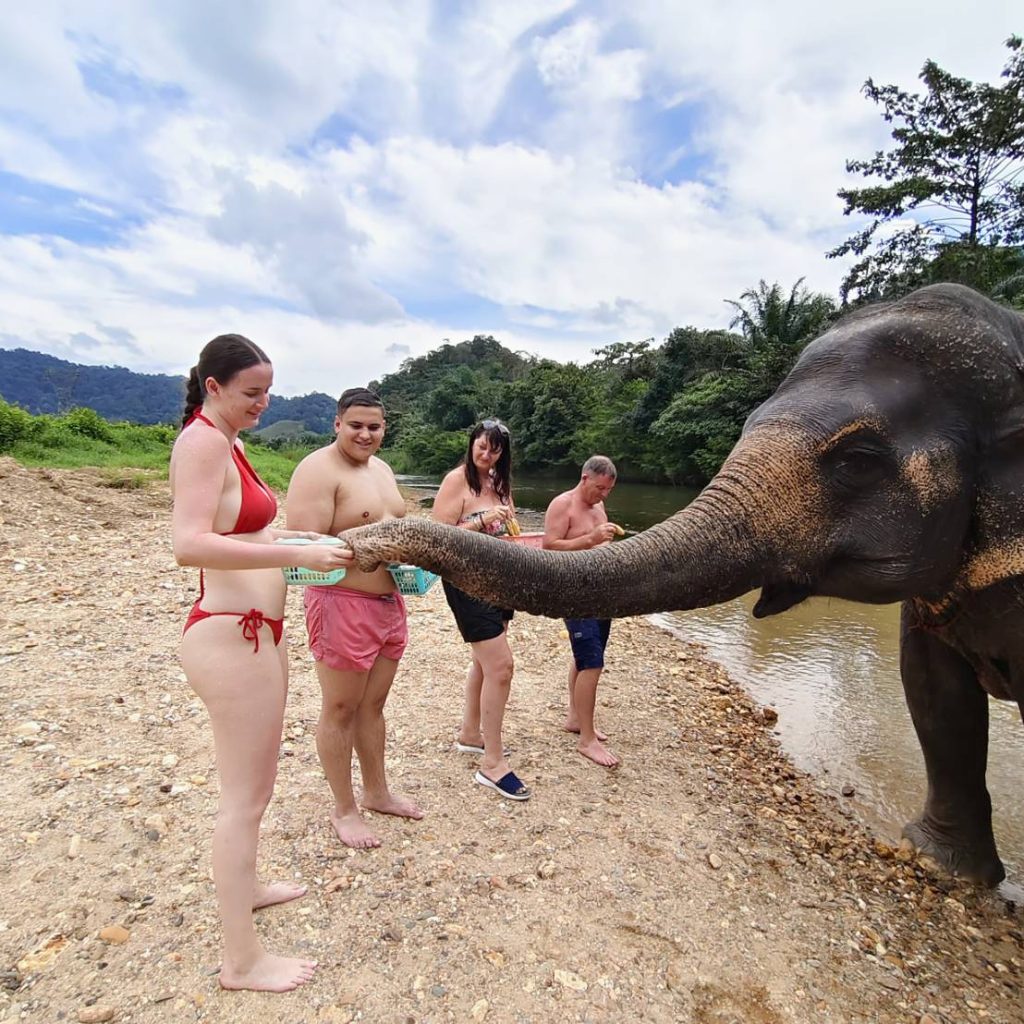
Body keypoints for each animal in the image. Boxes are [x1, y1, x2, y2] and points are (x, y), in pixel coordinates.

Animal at [343, 283, 1024, 888]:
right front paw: (945, 867)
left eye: (858, 461)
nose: (361, 541)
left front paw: (943, 867)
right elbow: (933, 689)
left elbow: (932, 690)